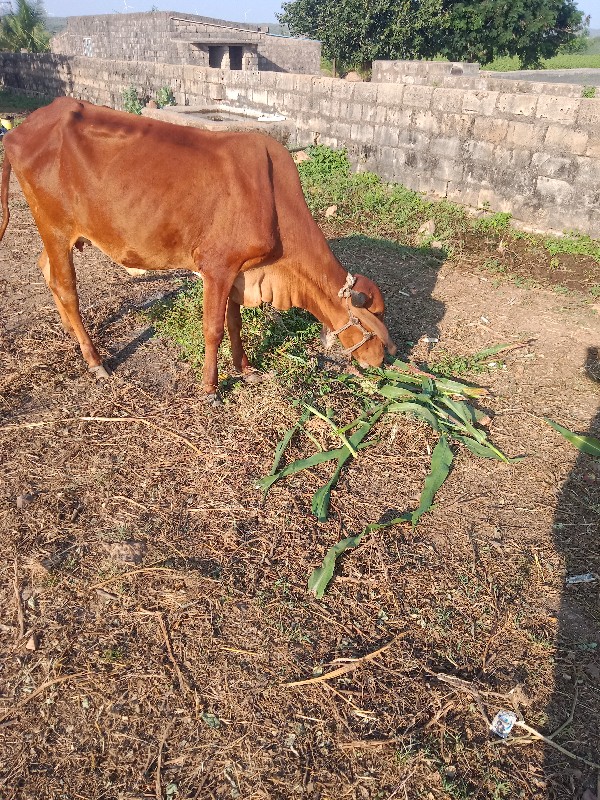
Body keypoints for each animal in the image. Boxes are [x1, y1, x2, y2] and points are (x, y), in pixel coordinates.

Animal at [1, 98, 398, 400]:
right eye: (373, 317)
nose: (385, 357)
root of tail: (24, 126)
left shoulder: (241, 271)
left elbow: (235, 323)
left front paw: (246, 369)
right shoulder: (217, 268)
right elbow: (214, 329)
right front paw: (210, 388)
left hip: (57, 235)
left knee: (46, 271)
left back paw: (71, 333)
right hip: (55, 229)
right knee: (66, 288)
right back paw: (95, 360)